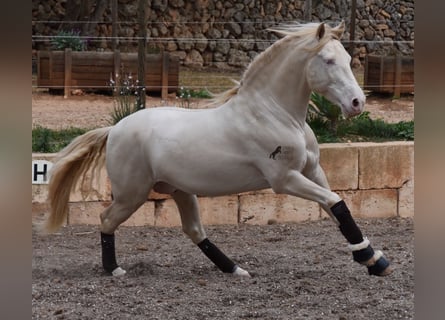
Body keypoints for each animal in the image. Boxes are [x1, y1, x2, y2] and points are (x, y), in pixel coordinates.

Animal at [41, 22, 388, 278]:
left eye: (348, 59)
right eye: (328, 60)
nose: (357, 103)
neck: (274, 113)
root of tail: (115, 129)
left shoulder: (313, 171)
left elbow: (336, 206)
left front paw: (373, 259)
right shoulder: (285, 179)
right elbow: (335, 202)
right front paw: (373, 259)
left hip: (180, 190)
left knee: (194, 230)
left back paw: (235, 269)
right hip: (132, 194)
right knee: (106, 219)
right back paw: (114, 269)